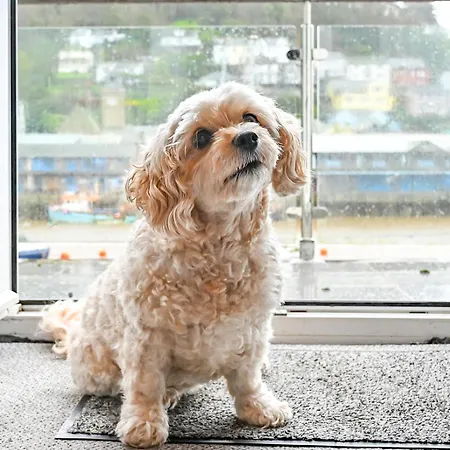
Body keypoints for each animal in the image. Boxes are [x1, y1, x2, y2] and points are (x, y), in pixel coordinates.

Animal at [41, 82, 307, 448]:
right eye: (201, 137)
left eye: (251, 117)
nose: (247, 137)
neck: (220, 247)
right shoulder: (145, 336)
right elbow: (144, 384)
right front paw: (143, 423)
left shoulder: (252, 327)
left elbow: (247, 377)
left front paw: (257, 407)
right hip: (98, 369)